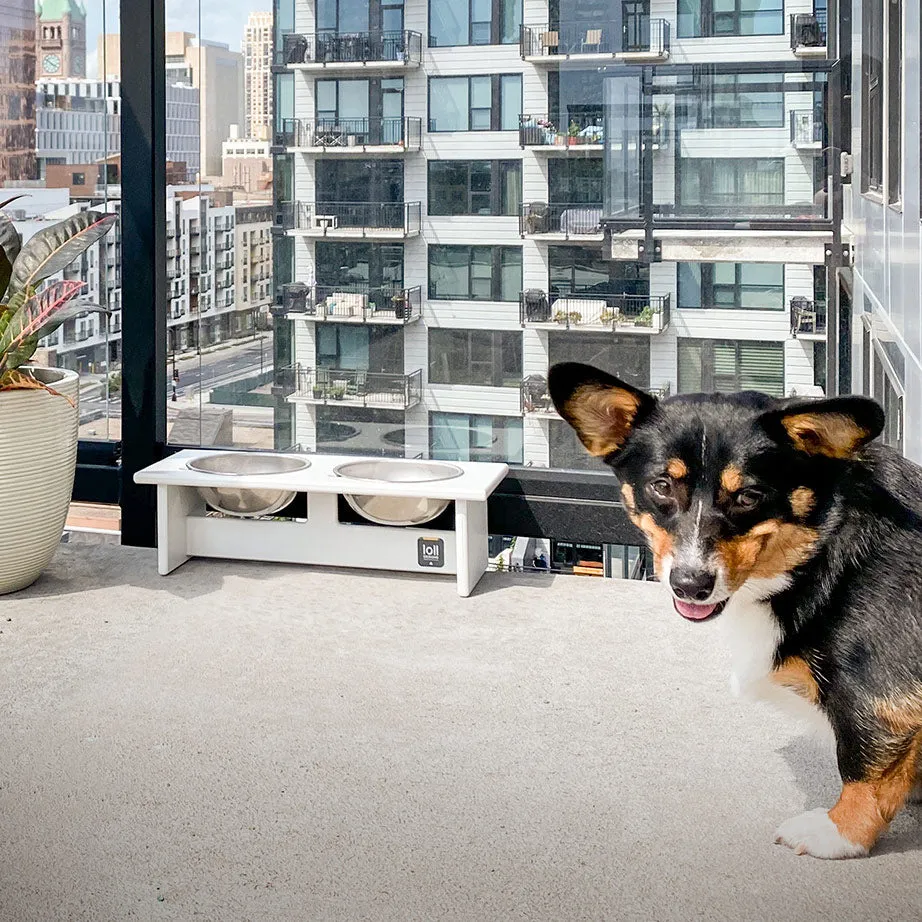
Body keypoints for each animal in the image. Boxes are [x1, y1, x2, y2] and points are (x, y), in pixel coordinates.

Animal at [548, 358, 920, 856]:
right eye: (661, 486)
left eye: (748, 496)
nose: (691, 585)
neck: (821, 544)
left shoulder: (879, 694)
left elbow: (862, 770)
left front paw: (836, 832)